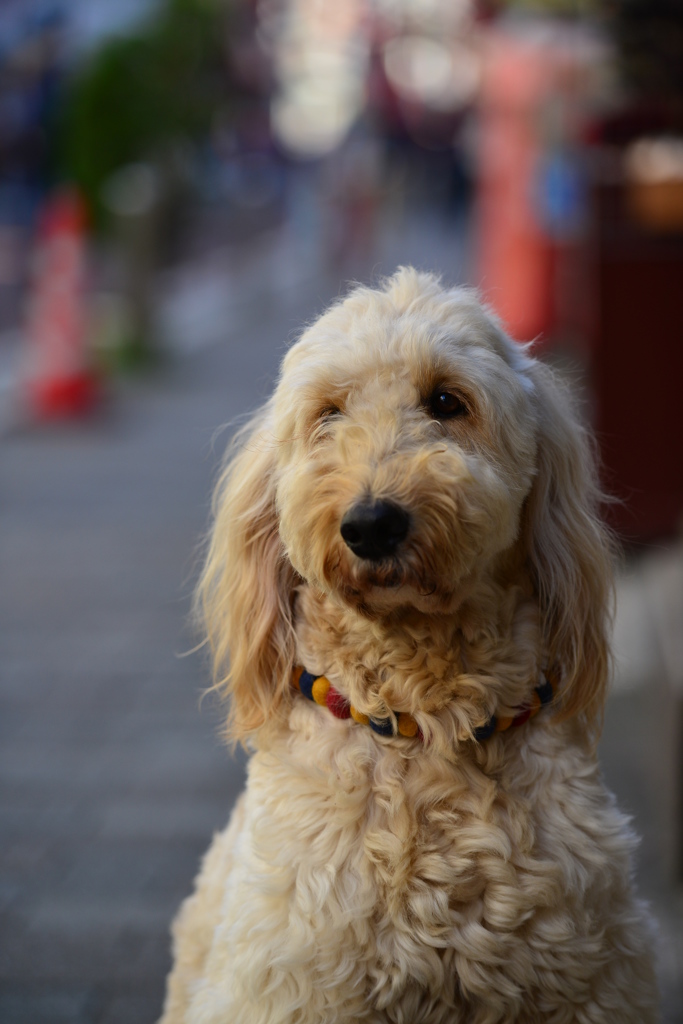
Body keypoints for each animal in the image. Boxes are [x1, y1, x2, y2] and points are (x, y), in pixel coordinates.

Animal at [158, 268, 655, 1019]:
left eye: (446, 401)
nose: (370, 524)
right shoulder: (295, 983)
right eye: (328, 413)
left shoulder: (589, 979)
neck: (424, 725)